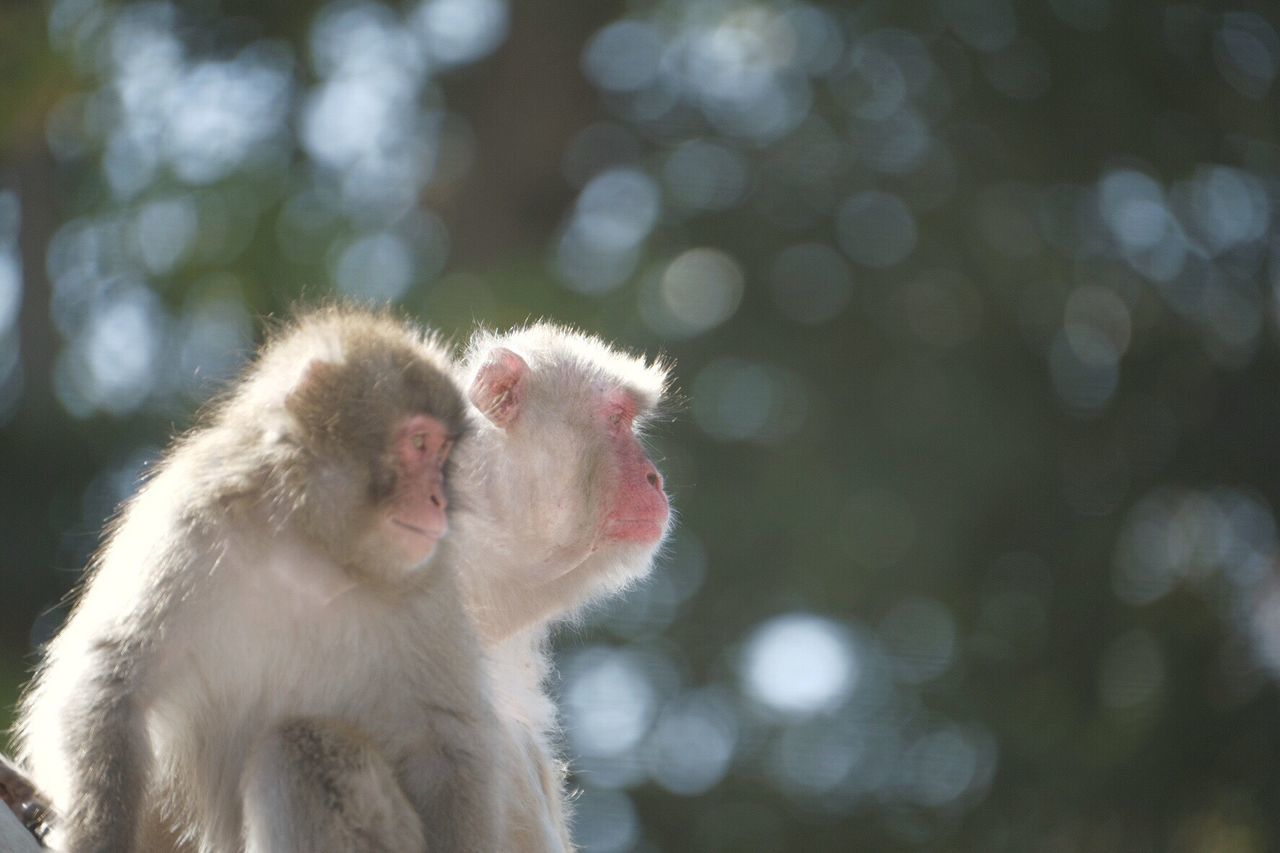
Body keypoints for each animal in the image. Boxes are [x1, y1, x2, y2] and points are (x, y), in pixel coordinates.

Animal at [16, 307, 504, 850]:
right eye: (419, 444)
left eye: (443, 458)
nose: (439, 499)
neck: (312, 552)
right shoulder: (190, 520)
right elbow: (112, 683)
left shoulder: (430, 588)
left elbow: (447, 748)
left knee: (303, 749)